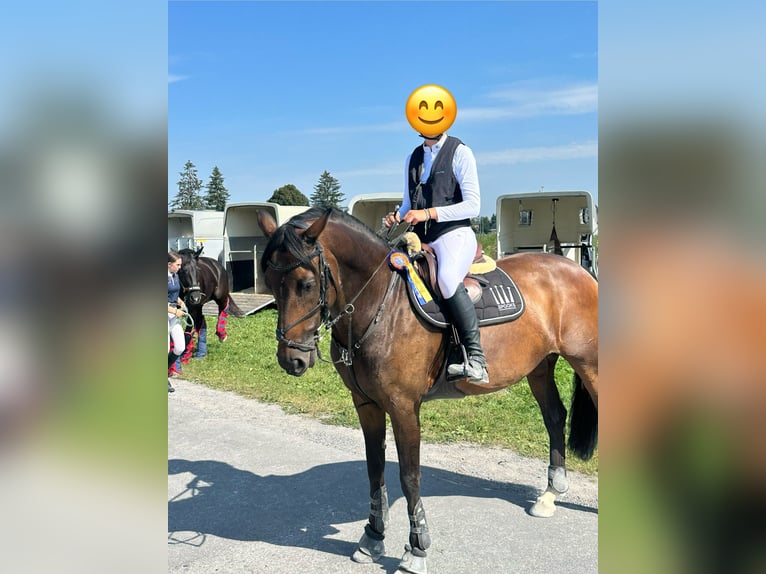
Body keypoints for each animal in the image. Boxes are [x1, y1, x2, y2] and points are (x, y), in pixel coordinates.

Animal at [256, 207, 598, 574]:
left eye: (306, 284)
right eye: (271, 283)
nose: (291, 360)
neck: (383, 306)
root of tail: (579, 271)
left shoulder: (404, 407)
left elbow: (409, 476)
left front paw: (417, 549)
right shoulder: (366, 404)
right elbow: (374, 469)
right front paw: (373, 538)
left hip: (589, 364)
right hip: (539, 367)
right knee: (554, 417)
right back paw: (549, 495)